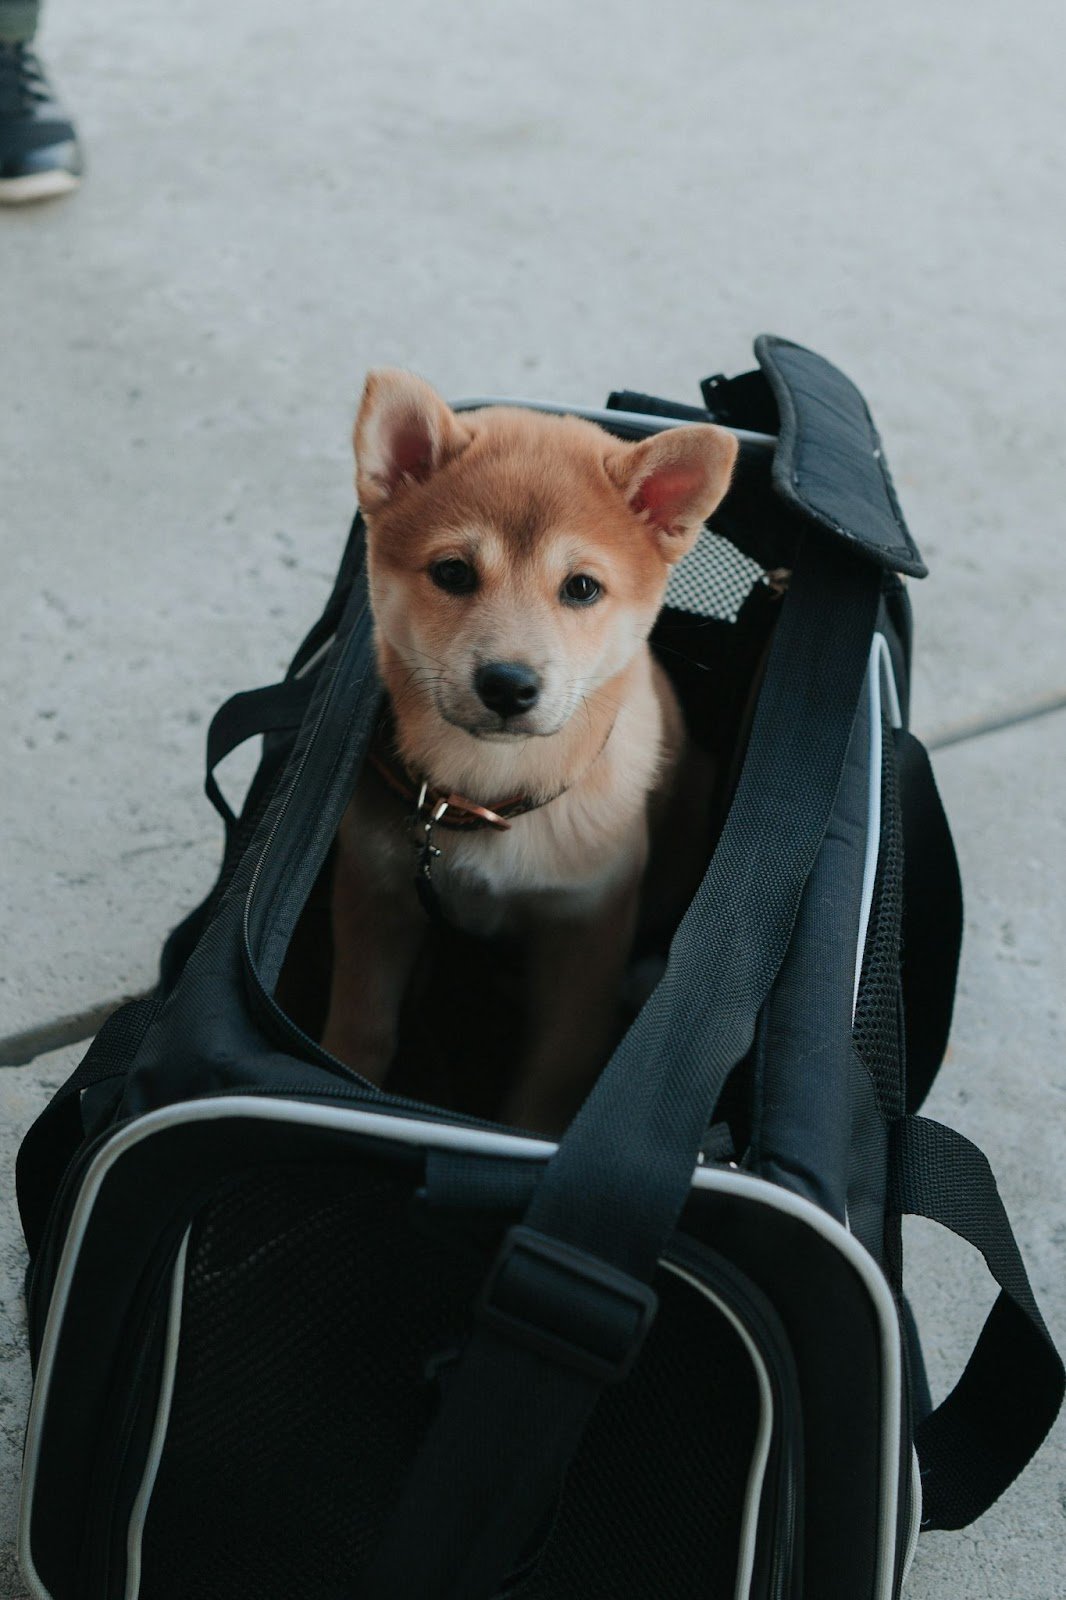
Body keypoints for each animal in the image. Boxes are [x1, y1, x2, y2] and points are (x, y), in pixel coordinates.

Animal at [320, 368, 736, 1132]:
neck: (488, 797)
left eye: (582, 587)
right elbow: (362, 1028)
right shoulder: (374, 893)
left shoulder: (585, 933)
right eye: (453, 573)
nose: (508, 685)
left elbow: (552, 1080)